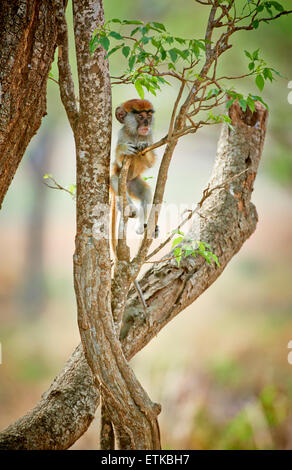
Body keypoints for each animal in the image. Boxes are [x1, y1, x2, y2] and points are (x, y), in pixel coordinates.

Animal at [111, 99, 157, 253]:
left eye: (149, 116)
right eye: (140, 117)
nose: (146, 124)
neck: (135, 134)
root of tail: (127, 183)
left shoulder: (149, 135)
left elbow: (150, 163)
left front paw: (144, 147)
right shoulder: (122, 134)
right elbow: (120, 161)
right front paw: (123, 149)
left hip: (133, 182)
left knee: (145, 192)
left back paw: (141, 226)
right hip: (122, 182)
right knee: (114, 180)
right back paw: (129, 208)